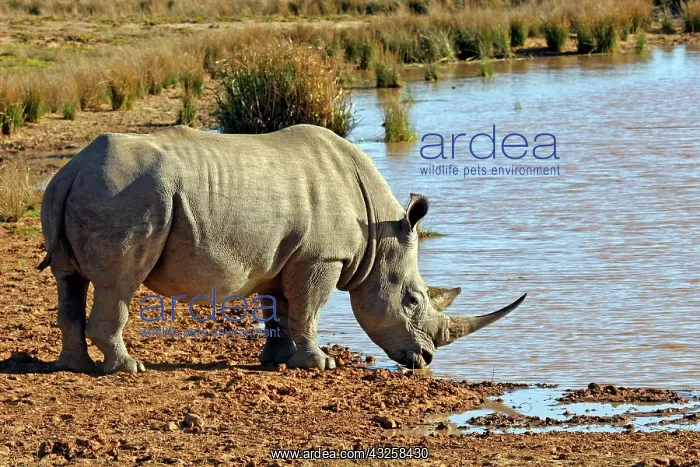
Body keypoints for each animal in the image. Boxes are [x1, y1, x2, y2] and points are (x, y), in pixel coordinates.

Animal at [39, 124, 525, 374]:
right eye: (411, 300)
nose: (424, 360)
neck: (377, 230)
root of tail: (73, 169)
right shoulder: (321, 258)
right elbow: (307, 309)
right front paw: (320, 364)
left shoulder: (283, 257)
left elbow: (279, 310)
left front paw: (276, 361)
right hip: (126, 195)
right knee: (119, 283)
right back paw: (128, 369)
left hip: (83, 189)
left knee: (69, 279)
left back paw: (72, 368)